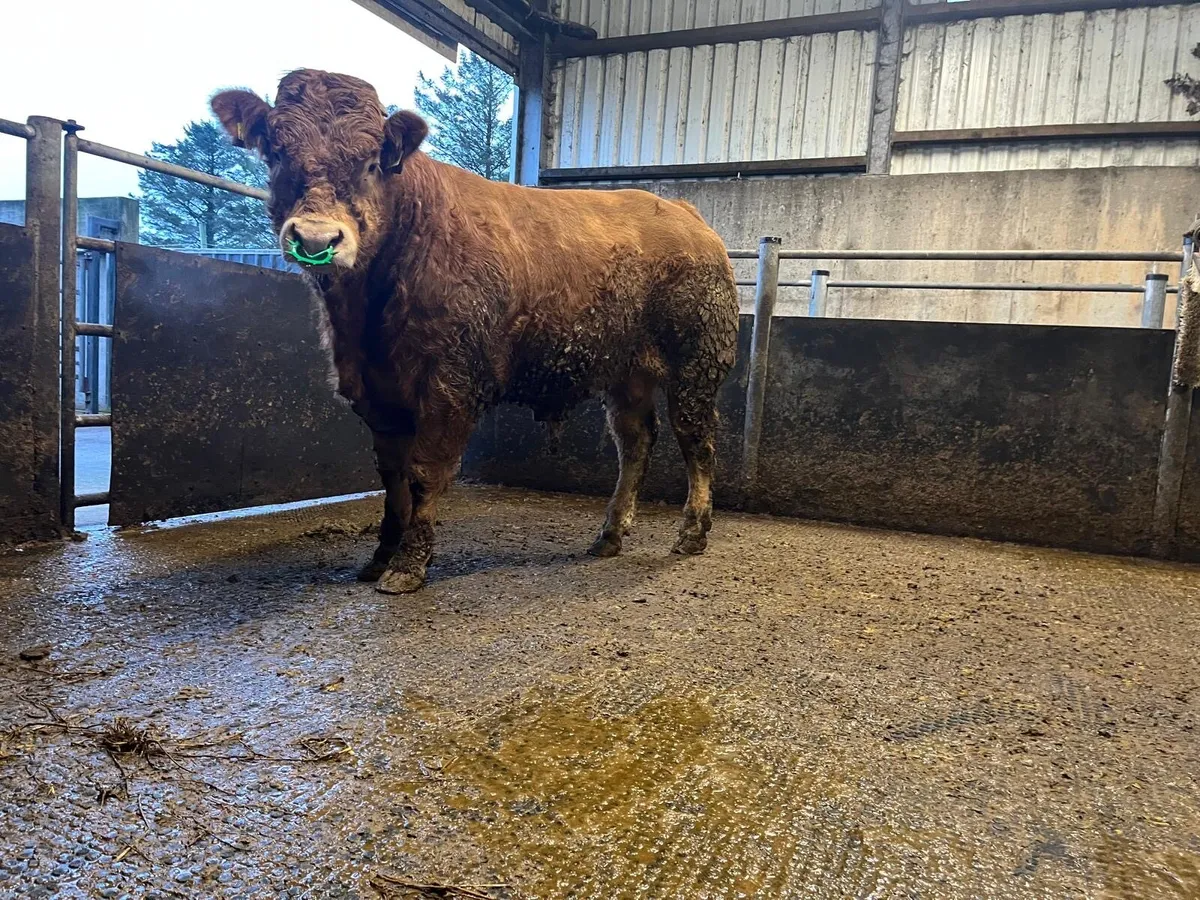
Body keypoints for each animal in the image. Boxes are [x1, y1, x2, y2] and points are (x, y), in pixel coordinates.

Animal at [211, 69, 739, 594]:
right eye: (276, 152)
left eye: (371, 163)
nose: (317, 239)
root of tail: (685, 213)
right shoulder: (378, 394)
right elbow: (393, 481)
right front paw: (380, 557)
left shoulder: (449, 384)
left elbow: (424, 473)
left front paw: (408, 566)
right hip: (626, 374)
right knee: (635, 442)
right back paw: (609, 535)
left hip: (696, 363)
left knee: (696, 439)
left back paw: (692, 532)